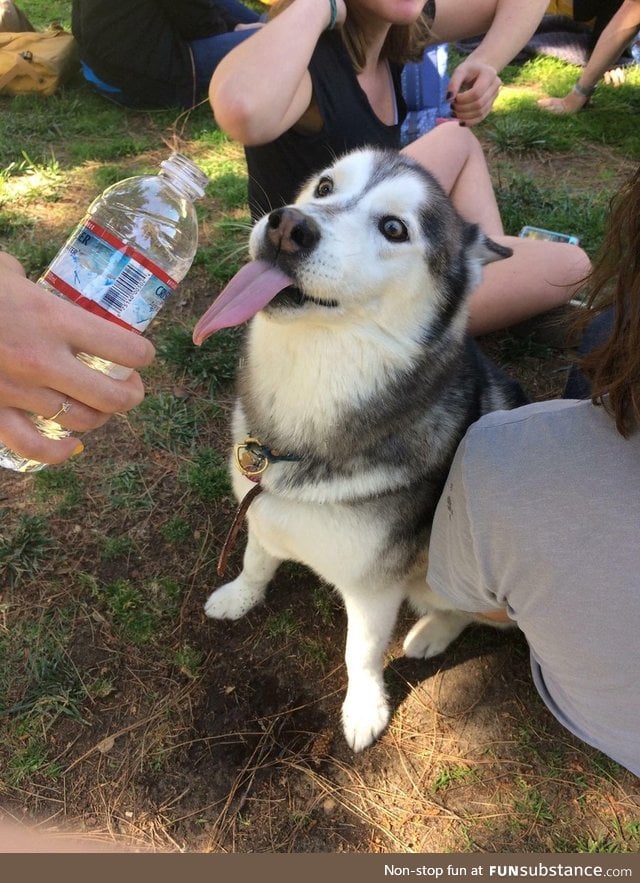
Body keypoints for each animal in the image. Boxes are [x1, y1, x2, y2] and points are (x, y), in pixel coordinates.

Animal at [194, 148, 524, 748]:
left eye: (394, 228)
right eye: (325, 187)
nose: (288, 226)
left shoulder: (375, 589)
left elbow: (361, 654)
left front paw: (364, 708)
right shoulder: (263, 513)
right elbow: (256, 561)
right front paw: (239, 596)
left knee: (465, 611)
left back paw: (430, 634)